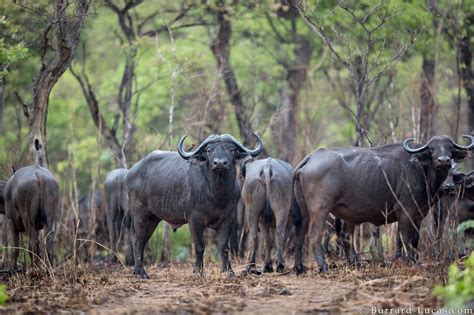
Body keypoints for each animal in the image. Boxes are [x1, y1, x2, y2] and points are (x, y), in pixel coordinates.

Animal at [126, 133, 262, 278]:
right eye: (209, 150)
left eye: (231, 149)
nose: (220, 163)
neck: (216, 195)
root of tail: (131, 172)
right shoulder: (194, 220)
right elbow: (199, 246)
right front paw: (198, 272)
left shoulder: (228, 219)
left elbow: (224, 246)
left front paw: (228, 272)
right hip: (139, 213)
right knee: (137, 239)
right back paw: (140, 272)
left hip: (153, 218)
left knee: (144, 240)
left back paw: (137, 270)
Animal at [292, 136, 474, 274]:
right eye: (432, 149)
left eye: (449, 148)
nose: (444, 161)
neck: (421, 169)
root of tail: (312, 157)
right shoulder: (406, 212)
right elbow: (406, 239)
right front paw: (412, 263)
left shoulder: (418, 215)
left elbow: (414, 240)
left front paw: (413, 261)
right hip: (320, 210)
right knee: (315, 236)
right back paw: (323, 267)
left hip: (308, 212)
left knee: (305, 235)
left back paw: (301, 267)